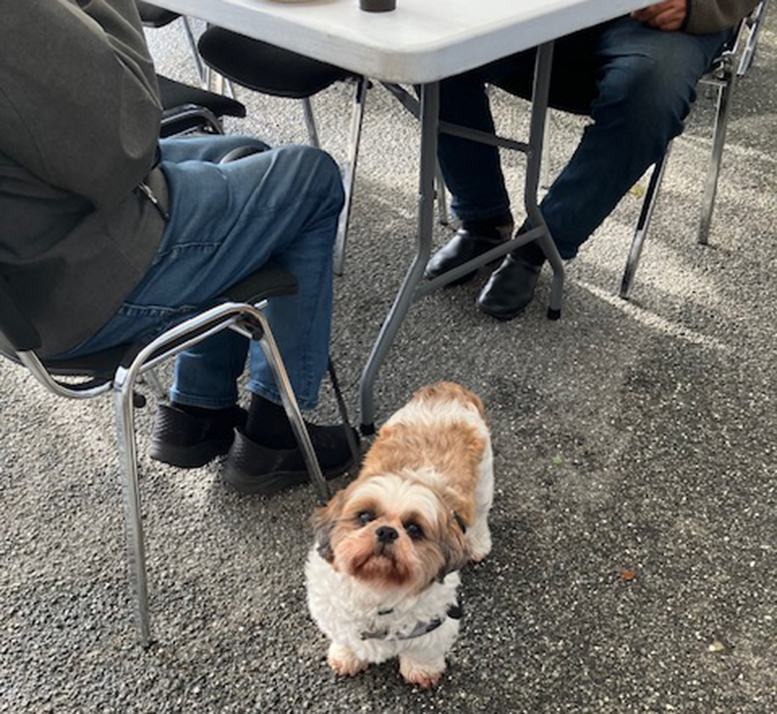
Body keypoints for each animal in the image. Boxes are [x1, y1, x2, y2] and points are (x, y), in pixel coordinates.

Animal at [304, 382, 492, 688]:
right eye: (365, 517)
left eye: (414, 530)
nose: (387, 531)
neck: (377, 590)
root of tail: (446, 390)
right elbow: (344, 636)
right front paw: (347, 656)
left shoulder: (436, 619)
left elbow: (424, 649)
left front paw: (421, 670)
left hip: (484, 480)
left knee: (479, 516)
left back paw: (477, 544)